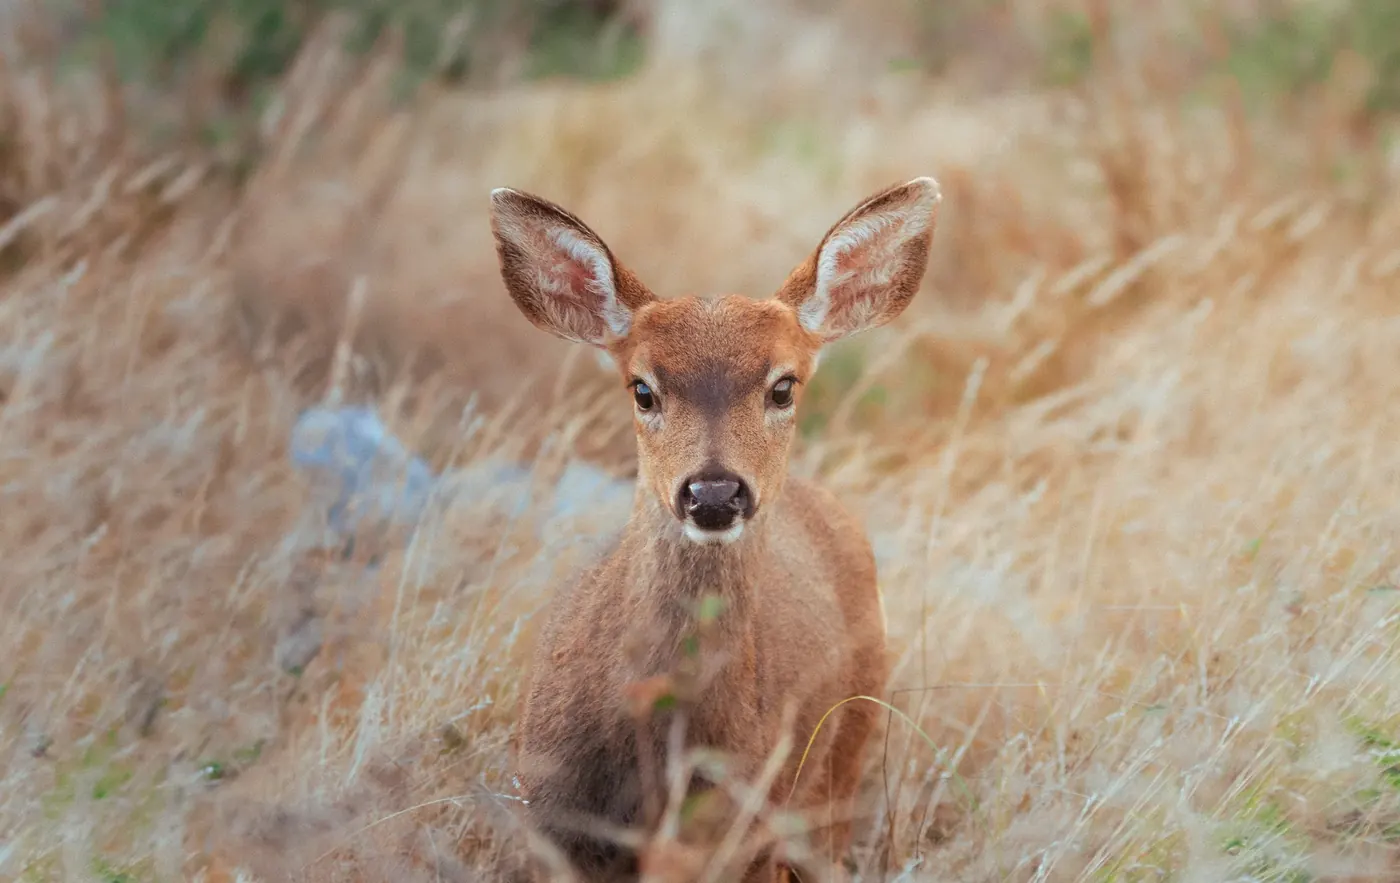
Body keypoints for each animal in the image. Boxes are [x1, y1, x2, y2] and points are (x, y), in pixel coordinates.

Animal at [489, 176, 941, 882]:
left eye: (783, 386)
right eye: (642, 389)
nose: (714, 493)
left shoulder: (737, 828)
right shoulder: (550, 823)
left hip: (846, 748)